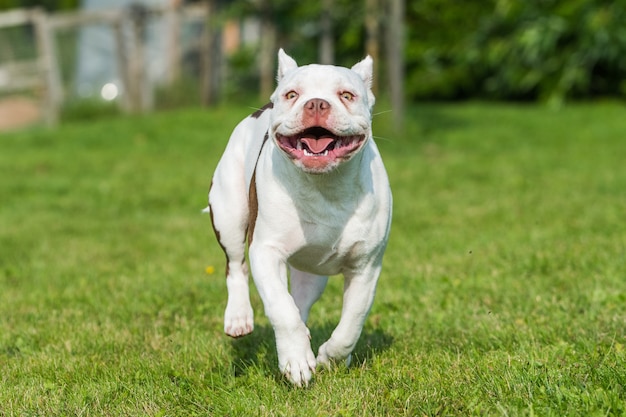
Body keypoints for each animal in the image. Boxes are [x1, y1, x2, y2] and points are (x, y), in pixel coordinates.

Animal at [205, 49, 390, 386]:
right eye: (292, 95)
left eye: (347, 95)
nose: (316, 103)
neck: (324, 185)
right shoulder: (265, 252)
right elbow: (281, 309)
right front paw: (296, 360)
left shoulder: (366, 267)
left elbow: (352, 322)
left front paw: (331, 358)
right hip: (228, 214)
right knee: (236, 266)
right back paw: (239, 318)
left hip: (312, 273)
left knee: (300, 300)